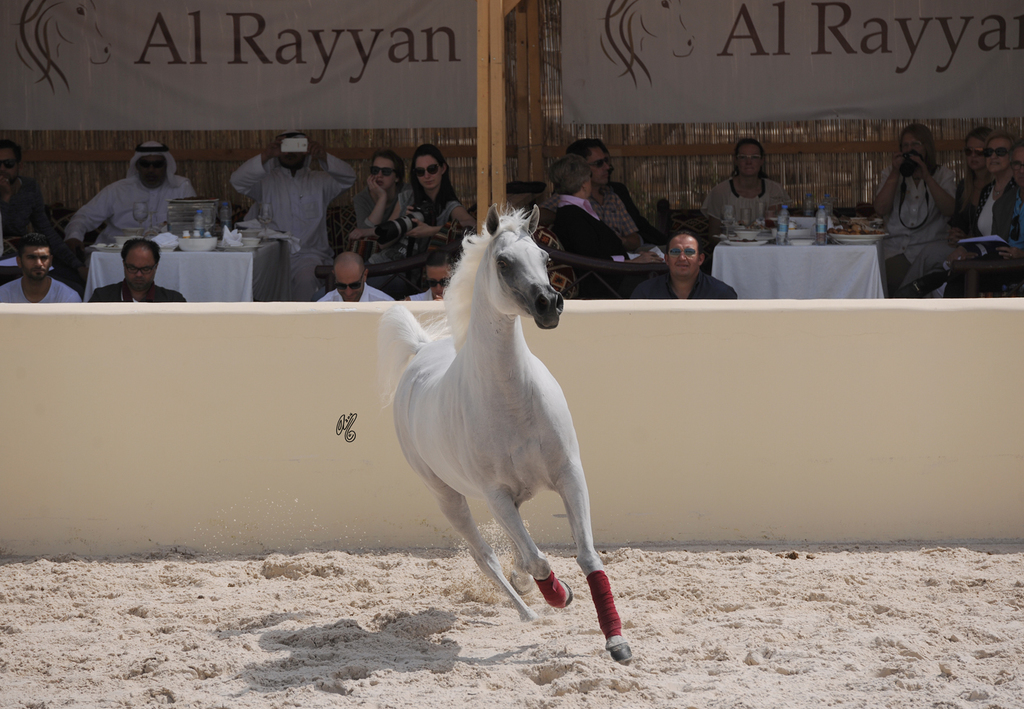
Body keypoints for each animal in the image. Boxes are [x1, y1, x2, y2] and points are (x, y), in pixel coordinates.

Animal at [378, 205, 632, 663]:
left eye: (546, 258)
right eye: (503, 262)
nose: (550, 304)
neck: (513, 402)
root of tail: (420, 350)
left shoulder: (570, 475)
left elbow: (587, 555)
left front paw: (617, 641)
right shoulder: (495, 496)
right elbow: (539, 561)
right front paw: (560, 595)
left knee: (514, 551)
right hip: (449, 497)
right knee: (487, 557)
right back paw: (529, 611)